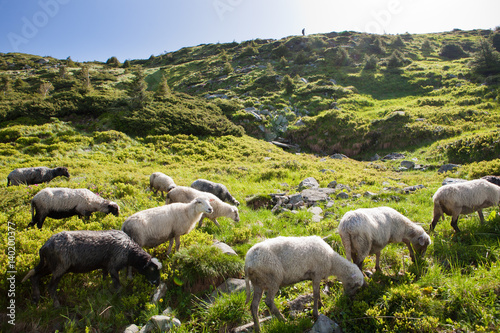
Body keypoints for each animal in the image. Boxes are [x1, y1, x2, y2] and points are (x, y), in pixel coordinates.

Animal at [22, 228, 162, 306]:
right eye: (152, 269)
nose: (157, 283)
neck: (129, 252)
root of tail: (45, 246)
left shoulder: (105, 266)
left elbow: (104, 280)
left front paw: (104, 292)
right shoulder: (113, 266)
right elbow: (118, 287)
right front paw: (120, 300)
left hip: (50, 265)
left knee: (35, 277)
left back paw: (35, 299)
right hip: (60, 267)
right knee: (51, 287)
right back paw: (56, 305)